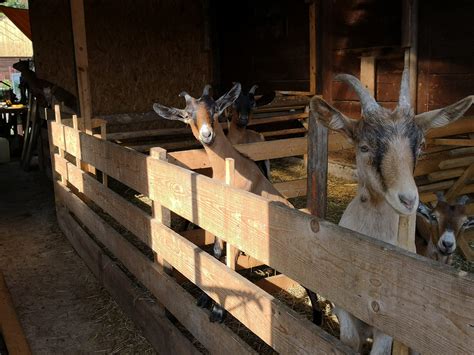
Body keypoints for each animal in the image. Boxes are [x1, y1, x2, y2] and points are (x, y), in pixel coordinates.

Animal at [153, 82, 292, 324]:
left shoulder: (236, 228)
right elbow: (217, 253)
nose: (207, 134)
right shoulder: (217, 222)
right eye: (187, 115)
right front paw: (204, 298)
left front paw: (218, 311)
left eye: (215, 110)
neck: (229, 169)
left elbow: (230, 263)